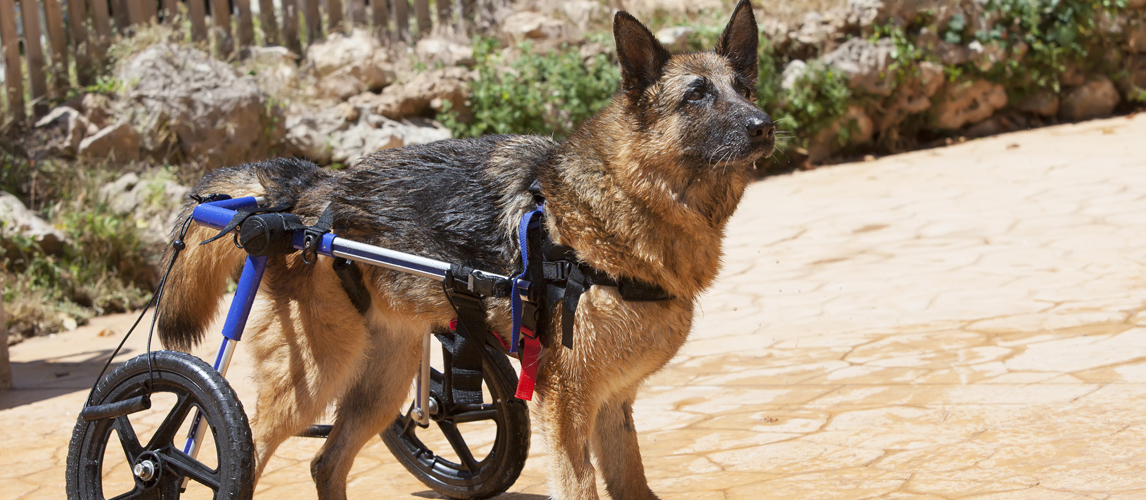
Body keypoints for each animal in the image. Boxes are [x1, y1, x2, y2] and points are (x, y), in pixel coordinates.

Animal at [157, 1, 774, 497]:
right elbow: (580, 486)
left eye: (744, 90)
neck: (621, 205)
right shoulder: (567, 404)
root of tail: (306, 192)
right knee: (228, 449)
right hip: (309, 382)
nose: (764, 125)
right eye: (697, 96)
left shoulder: (611, 405)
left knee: (325, 462)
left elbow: (632, 483)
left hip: (384, 385)